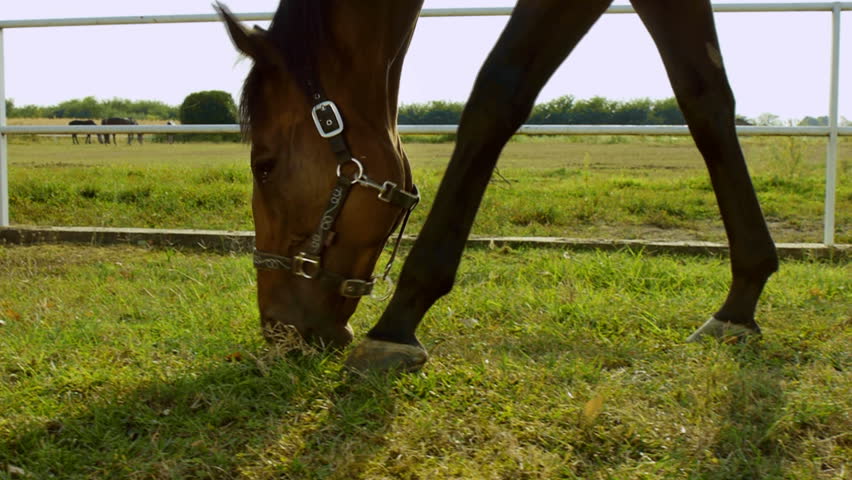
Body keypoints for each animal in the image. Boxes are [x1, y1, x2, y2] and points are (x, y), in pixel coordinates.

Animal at [218, 0, 780, 376]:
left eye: (264, 166)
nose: (277, 328)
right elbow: (705, 98)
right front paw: (740, 301)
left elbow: (496, 94)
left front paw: (399, 322)